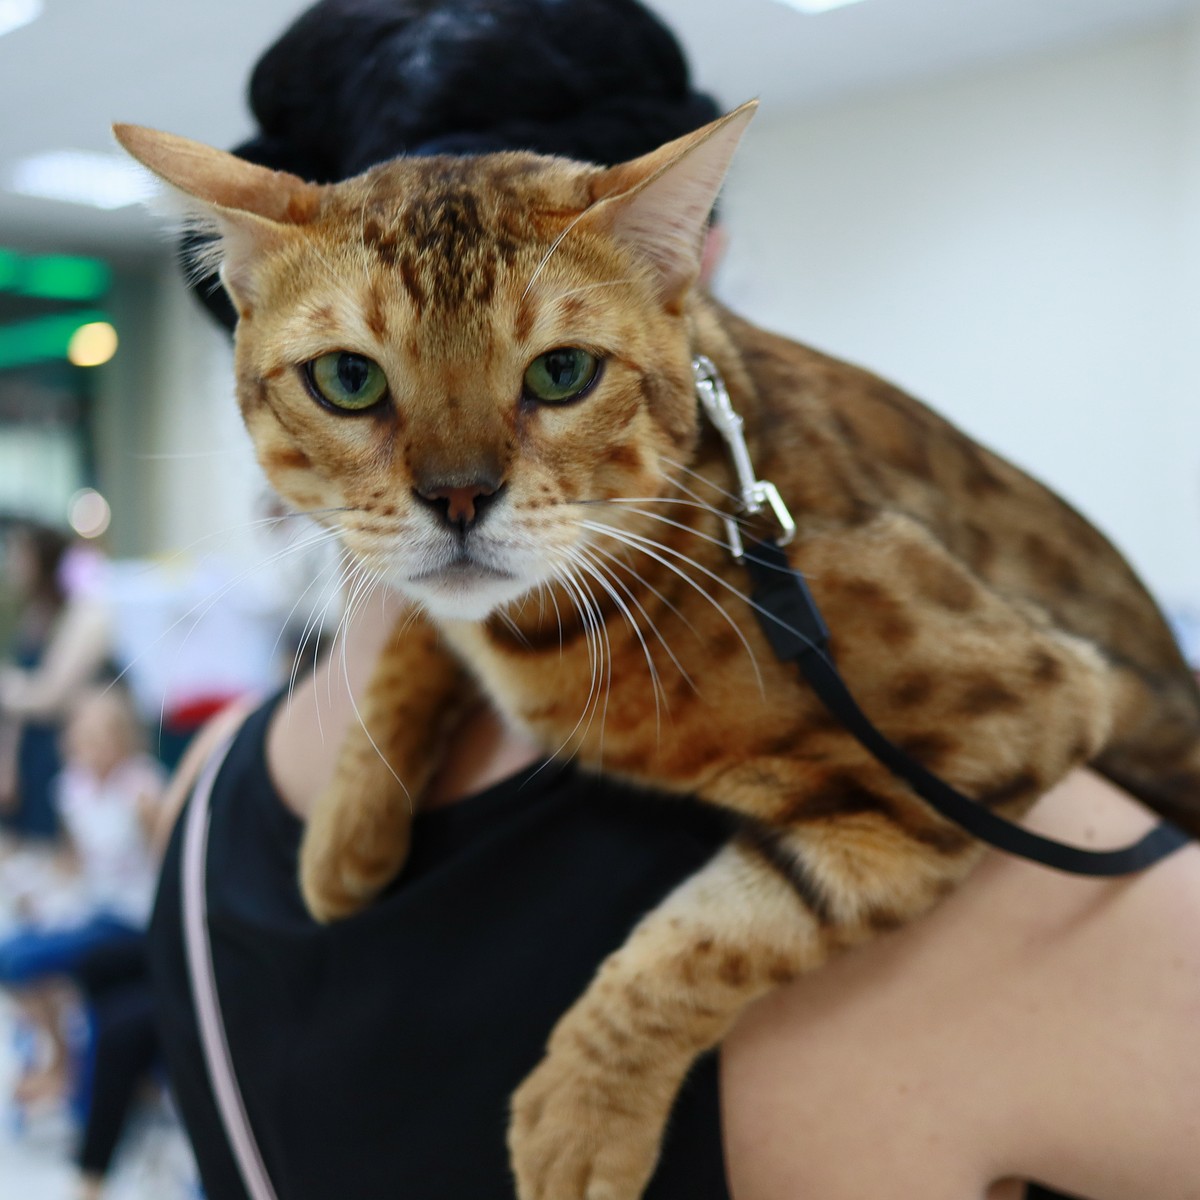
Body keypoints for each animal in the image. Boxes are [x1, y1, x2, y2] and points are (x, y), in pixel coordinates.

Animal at [114, 105, 1200, 1200]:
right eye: (348, 379)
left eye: (562, 372)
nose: (459, 496)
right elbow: (421, 630)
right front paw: (348, 827)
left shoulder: (1005, 722)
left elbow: (720, 930)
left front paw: (583, 1111)